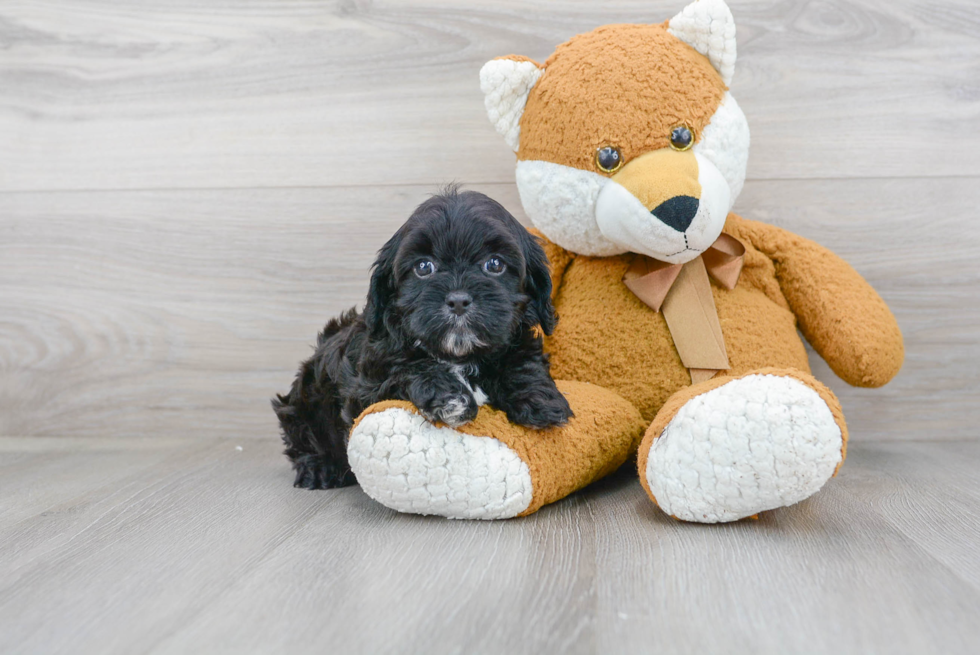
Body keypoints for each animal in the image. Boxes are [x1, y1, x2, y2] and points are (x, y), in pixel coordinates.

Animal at [272, 187, 572, 490]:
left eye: (495, 264)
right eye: (424, 267)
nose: (458, 299)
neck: (460, 356)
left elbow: (521, 362)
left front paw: (540, 399)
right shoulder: (366, 388)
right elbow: (407, 368)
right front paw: (449, 396)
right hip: (303, 402)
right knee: (303, 436)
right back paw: (320, 468)